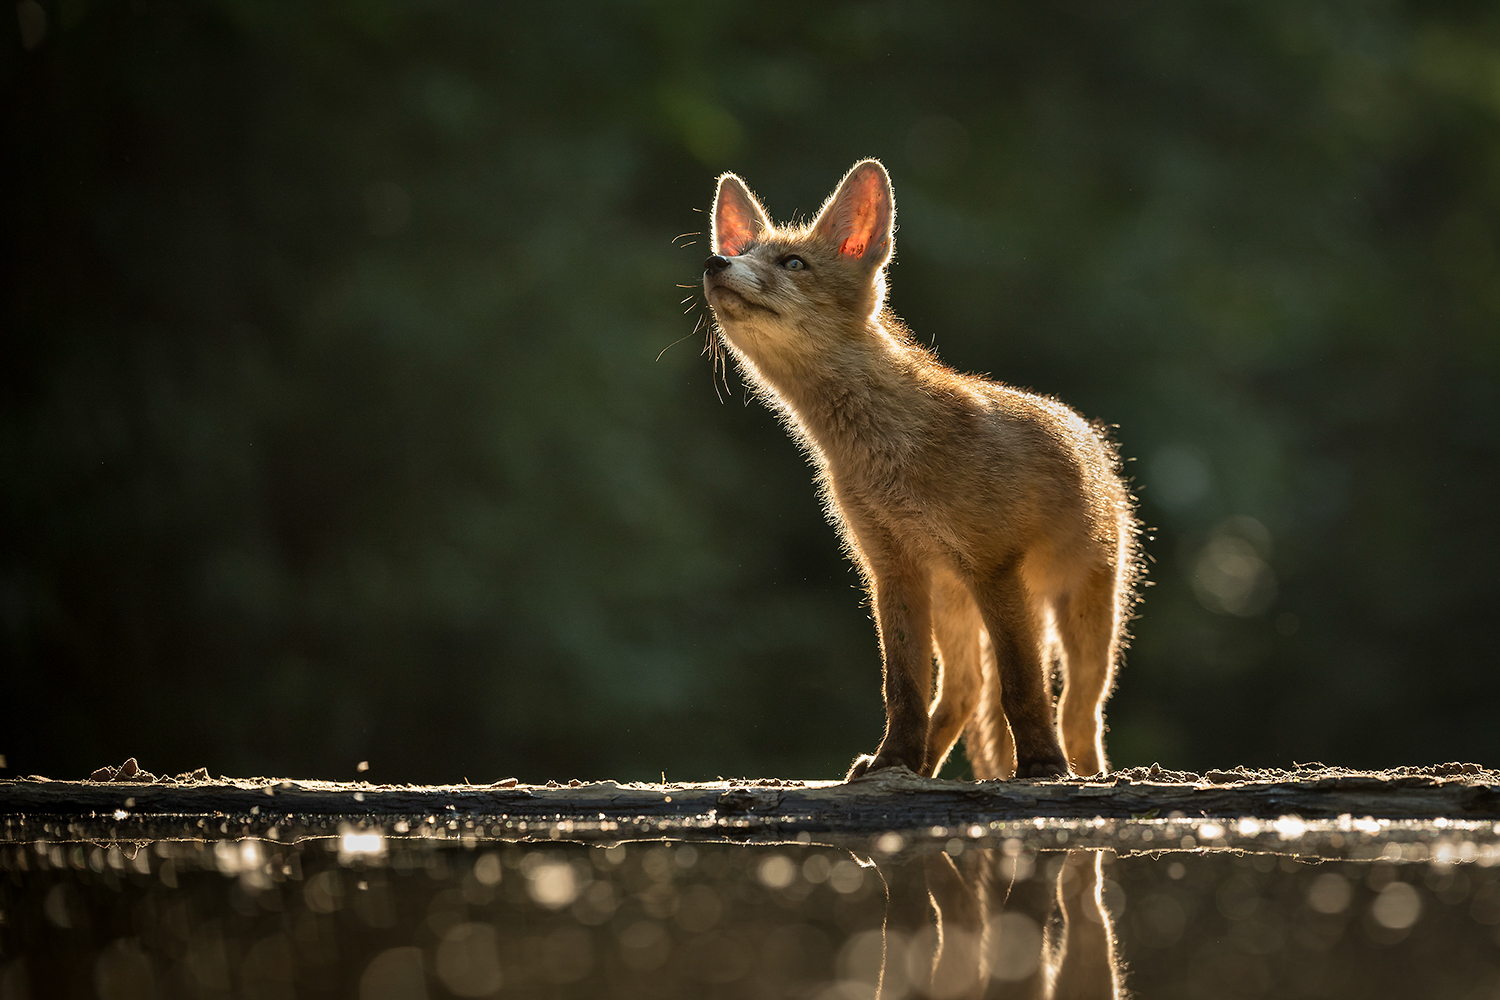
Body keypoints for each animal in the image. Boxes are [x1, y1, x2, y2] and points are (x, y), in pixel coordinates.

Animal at [702, 158, 1134, 779]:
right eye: (740, 251)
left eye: (793, 263)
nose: (715, 262)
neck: (889, 456)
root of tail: (1095, 441)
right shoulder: (893, 569)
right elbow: (905, 691)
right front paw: (894, 762)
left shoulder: (993, 566)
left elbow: (1024, 689)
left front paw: (1042, 765)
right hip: (957, 606)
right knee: (964, 691)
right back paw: (926, 765)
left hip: (1080, 613)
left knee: (1078, 709)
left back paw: (1087, 770)